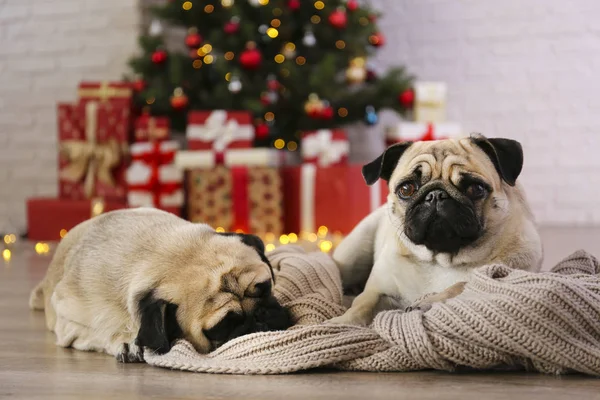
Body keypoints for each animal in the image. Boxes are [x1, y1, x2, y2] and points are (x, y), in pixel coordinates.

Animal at [29, 208, 292, 360]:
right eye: (222, 327)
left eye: (265, 287)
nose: (259, 316)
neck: (158, 253)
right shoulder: (69, 321)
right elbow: (99, 330)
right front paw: (125, 341)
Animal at [332, 136, 544, 326]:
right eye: (406, 189)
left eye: (476, 188)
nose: (436, 195)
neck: (440, 260)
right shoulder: (377, 290)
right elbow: (362, 305)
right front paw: (340, 323)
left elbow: (461, 285)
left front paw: (427, 301)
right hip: (353, 254)